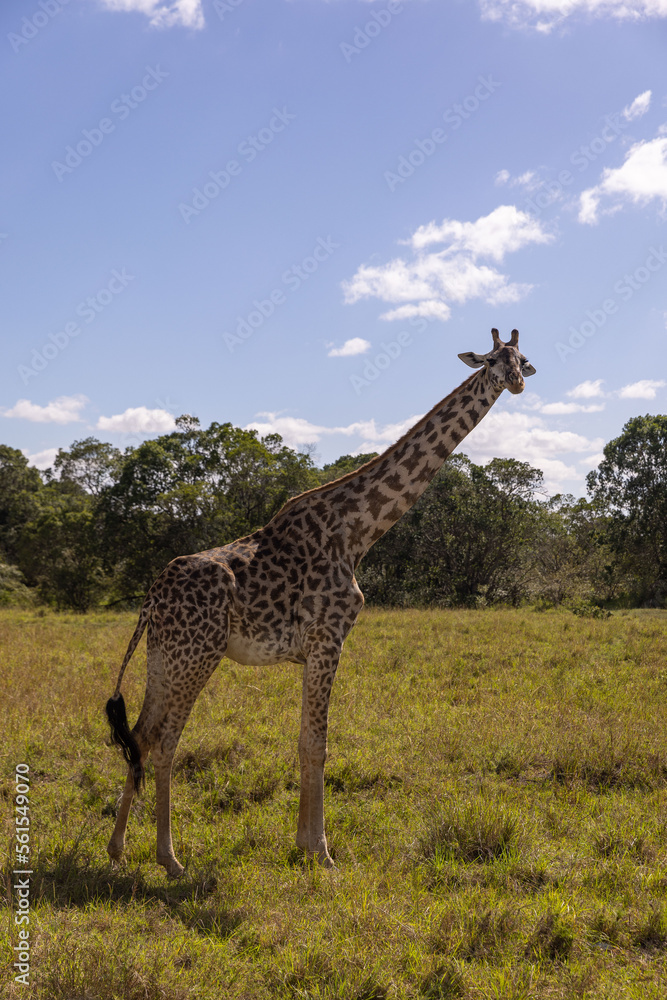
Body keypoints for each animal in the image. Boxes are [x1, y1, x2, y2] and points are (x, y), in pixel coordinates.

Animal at [105, 327, 535, 876]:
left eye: (522, 359)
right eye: (491, 361)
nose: (517, 382)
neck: (356, 532)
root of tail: (152, 598)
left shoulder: (312, 648)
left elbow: (307, 742)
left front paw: (304, 845)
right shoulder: (328, 639)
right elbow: (317, 744)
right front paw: (321, 851)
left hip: (163, 655)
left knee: (139, 735)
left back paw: (117, 849)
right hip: (197, 654)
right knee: (164, 742)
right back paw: (170, 859)